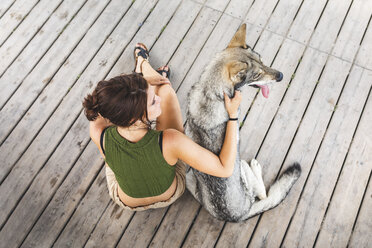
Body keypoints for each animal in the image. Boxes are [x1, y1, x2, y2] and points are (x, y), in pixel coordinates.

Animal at [185, 24, 300, 222]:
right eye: (257, 74)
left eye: (263, 60)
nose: (281, 76)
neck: (210, 95)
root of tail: (237, 216)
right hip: (241, 168)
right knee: (263, 194)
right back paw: (255, 167)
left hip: (189, 178)